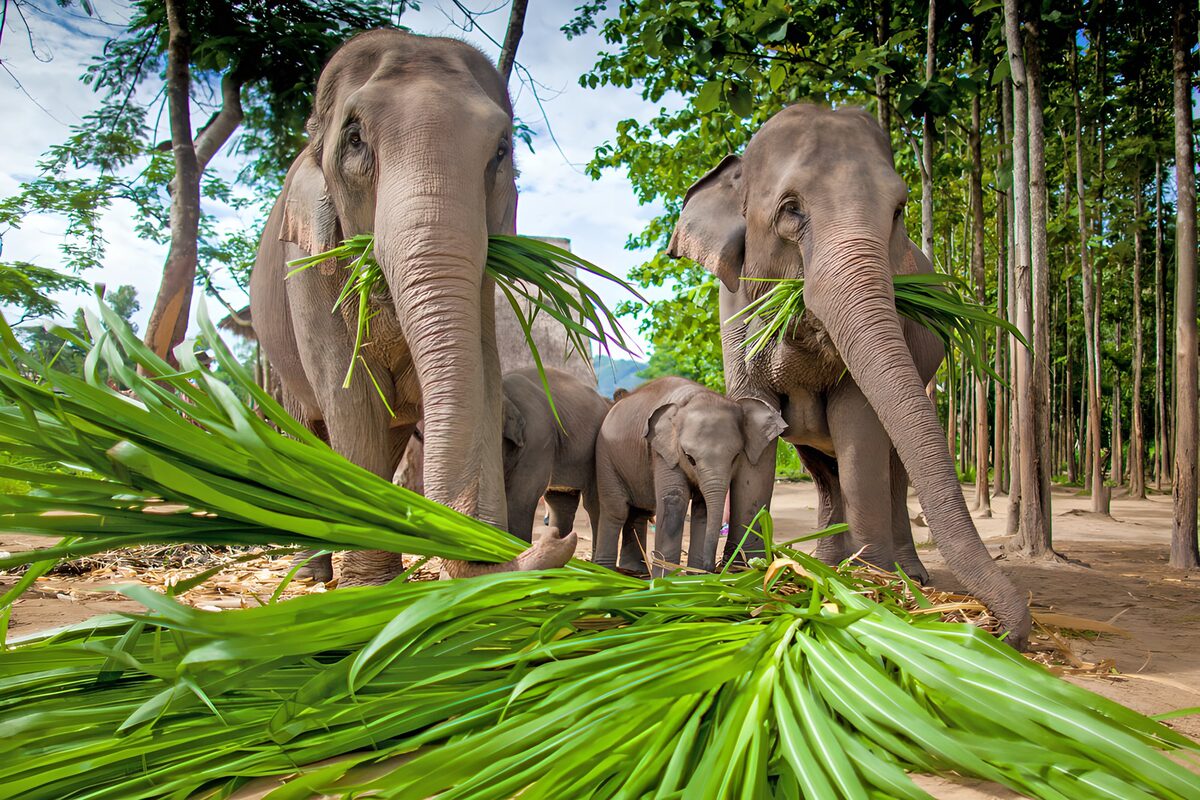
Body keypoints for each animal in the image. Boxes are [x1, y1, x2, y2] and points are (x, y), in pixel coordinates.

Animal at [248, 30, 575, 585]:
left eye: (502, 150)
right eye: (355, 138)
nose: (554, 540)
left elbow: (482, 374)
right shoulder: (307, 265)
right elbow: (349, 395)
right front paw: (370, 587)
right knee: (309, 428)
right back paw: (312, 573)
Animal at [593, 377, 785, 576]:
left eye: (736, 457)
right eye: (689, 457)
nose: (712, 568)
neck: (694, 396)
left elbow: (702, 509)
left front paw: (696, 576)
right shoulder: (663, 453)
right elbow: (674, 500)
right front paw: (667, 578)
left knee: (640, 512)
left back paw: (635, 570)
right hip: (605, 457)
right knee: (616, 510)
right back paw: (604, 571)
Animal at [667, 104, 1030, 647]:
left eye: (899, 210)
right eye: (791, 209)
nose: (999, 631)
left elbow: (858, 424)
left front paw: (871, 584)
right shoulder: (731, 310)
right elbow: (755, 420)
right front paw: (746, 575)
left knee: (892, 470)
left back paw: (904, 574)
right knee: (822, 471)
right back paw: (823, 563)